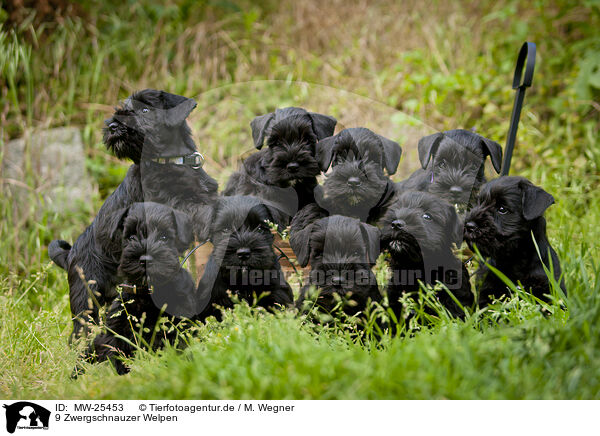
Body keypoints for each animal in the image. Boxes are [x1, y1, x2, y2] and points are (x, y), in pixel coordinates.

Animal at [48, 88, 218, 340]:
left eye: (145, 109)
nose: (112, 126)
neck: (171, 161)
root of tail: (69, 256)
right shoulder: (168, 204)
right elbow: (196, 210)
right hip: (87, 296)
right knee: (80, 332)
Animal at [84, 201, 196, 374]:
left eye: (164, 237)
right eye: (131, 237)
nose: (145, 259)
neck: (147, 295)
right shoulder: (115, 332)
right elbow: (115, 356)